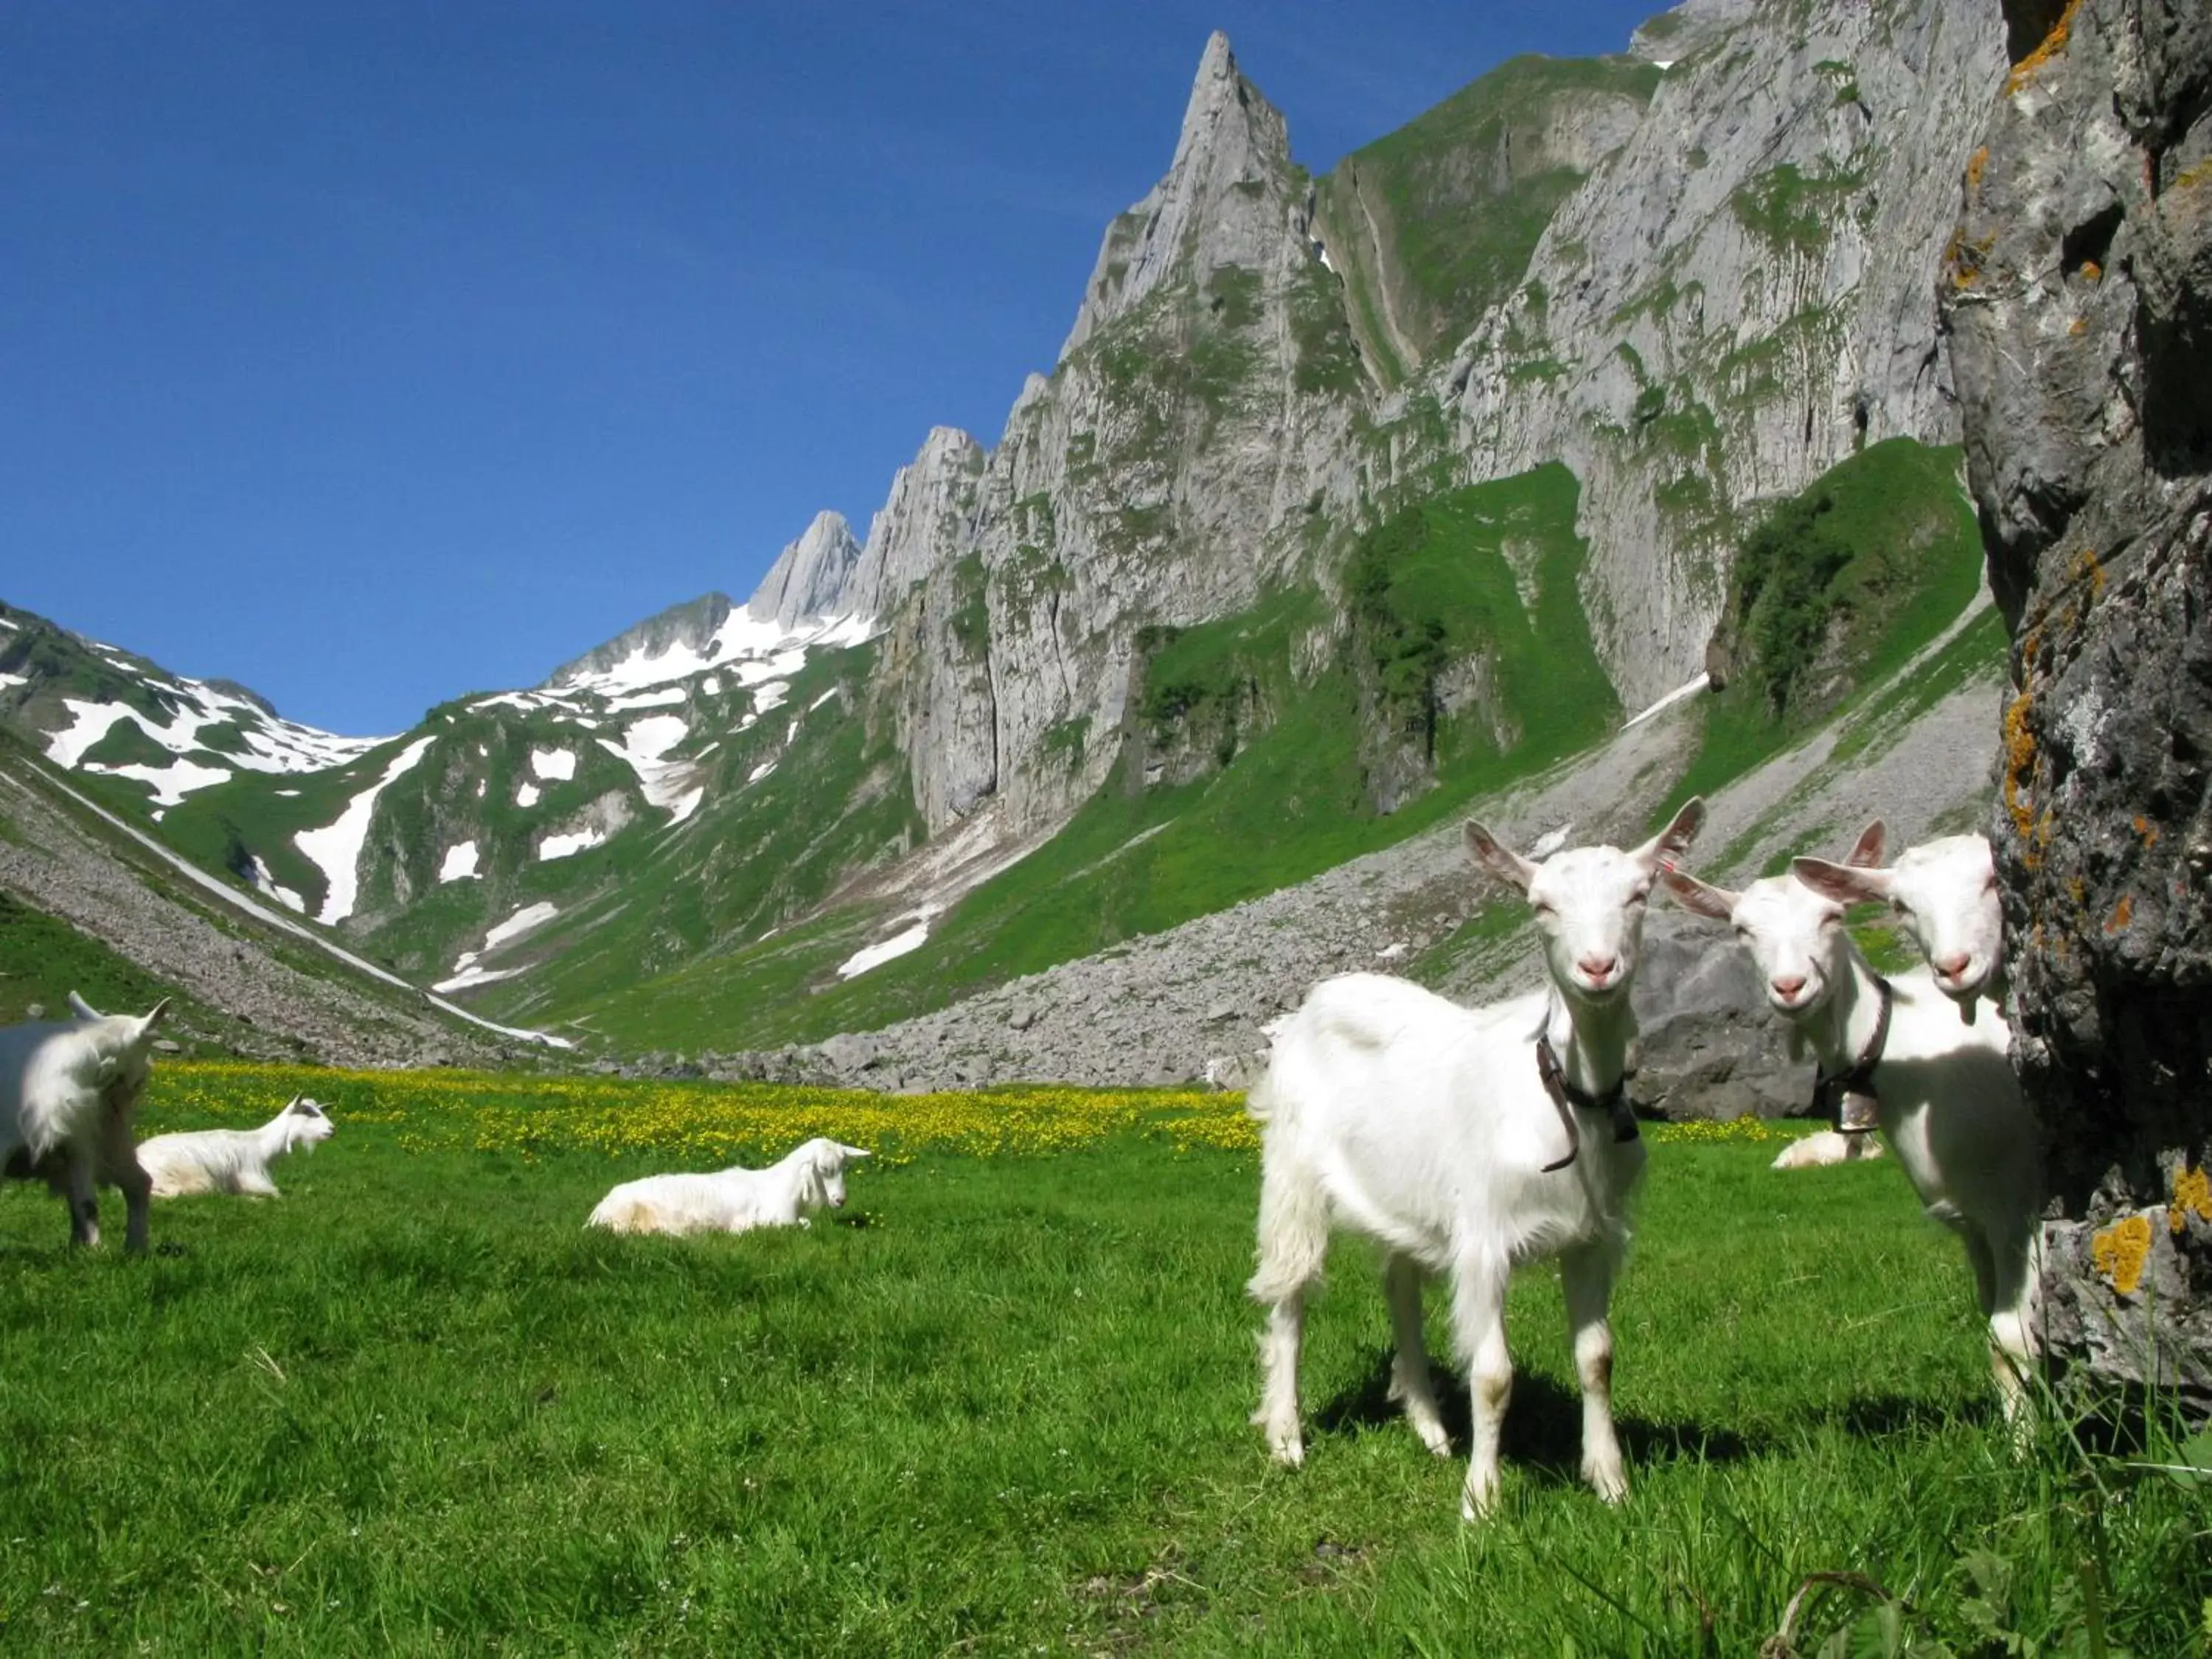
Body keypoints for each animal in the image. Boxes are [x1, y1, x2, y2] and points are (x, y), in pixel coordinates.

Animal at [0, 995, 170, 1256]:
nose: (140, 1081)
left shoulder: (78, 1143)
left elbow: (86, 1203)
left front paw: (92, 1251)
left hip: (110, 1140)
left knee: (138, 1183)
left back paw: (134, 1248)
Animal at [588, 1141, 872, 1239]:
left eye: (845, 1166)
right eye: (822, 1168)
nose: (841, 1200)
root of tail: (598, 1210)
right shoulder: (773, 1221)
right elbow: (805, 1225)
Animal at [1248, 801, 1708, 1522]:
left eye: (1639, 894)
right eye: (1541, 905)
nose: (1597, 968)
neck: (1562, 1091)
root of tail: (1315, 1001)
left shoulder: (1591, 1238)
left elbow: (1598, 1359)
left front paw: (1610, 1483)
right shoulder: (1485, 1240)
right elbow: (1493, 1377)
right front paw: (1481, 1501)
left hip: (1405, 1196)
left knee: (1400, 1287)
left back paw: (1430, 1427)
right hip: (1293, 1174)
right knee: (1290, 1293)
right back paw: (1288, 1437)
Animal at [1663, 858, 2044, 1433]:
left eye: (1832, 916)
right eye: (1742, 929)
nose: (1790, 986)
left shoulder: (2019, 1207)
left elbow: (2013, 1336)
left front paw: (2032, 1445)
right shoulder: (1974, 1220)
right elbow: (1996, 1332)